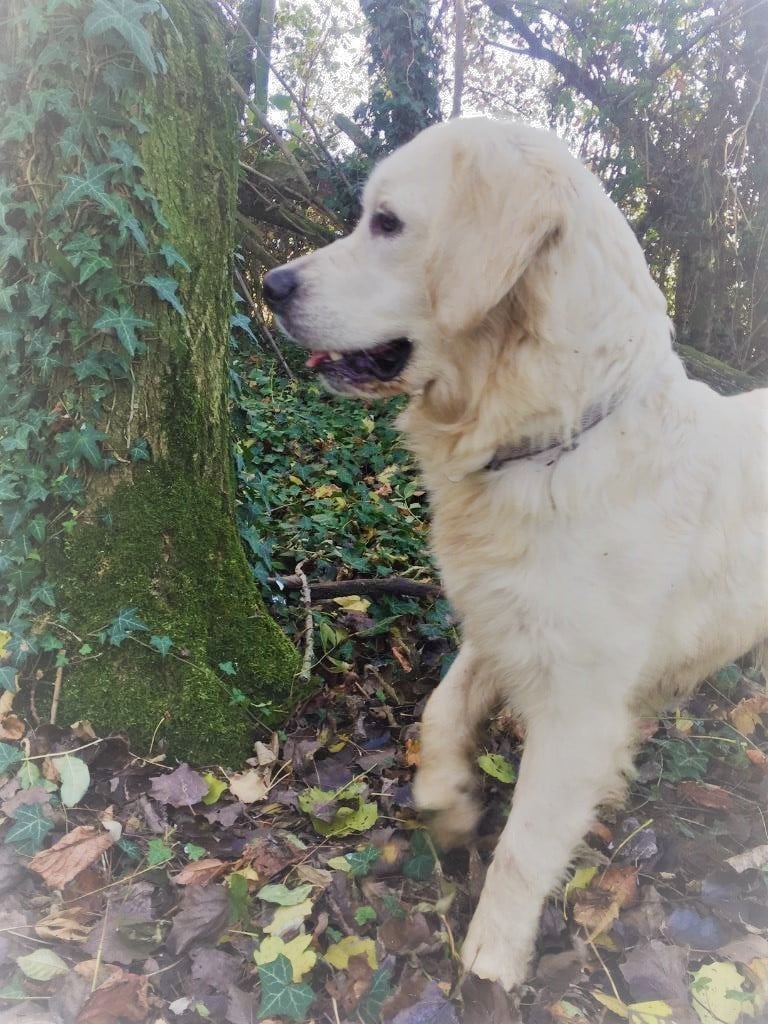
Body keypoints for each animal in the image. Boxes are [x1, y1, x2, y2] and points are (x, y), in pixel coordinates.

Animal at [264, 119, 765, 991]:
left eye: (386, 222)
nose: (270, 284)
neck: (553, 439)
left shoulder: (579, 709)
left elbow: (528, 847)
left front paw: (492, 960)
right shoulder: (498, 621)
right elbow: (440, 709)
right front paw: (448, 801)